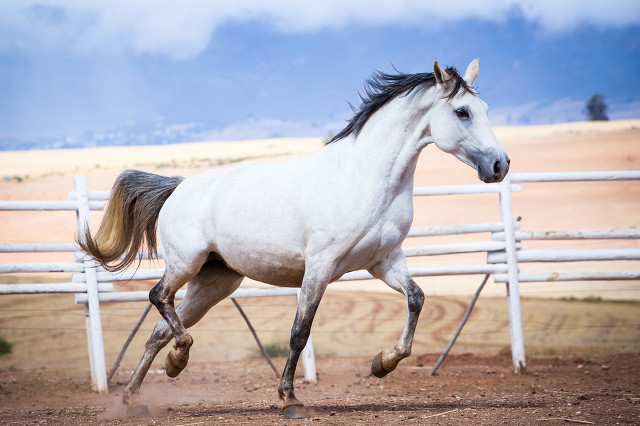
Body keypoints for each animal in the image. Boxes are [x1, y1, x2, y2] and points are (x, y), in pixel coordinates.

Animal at [79, 58, 510, 418]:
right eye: (462, 112)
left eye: (487, 110)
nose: (500, 165)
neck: (366, 177)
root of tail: (178, 187)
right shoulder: (321, 266)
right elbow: (299, 332)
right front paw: (290, 399)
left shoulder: (384, 261)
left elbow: (417, 299)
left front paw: (382, 363)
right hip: (186, 264)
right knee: (159, 298)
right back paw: (176, 362)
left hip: (214, 281)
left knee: (159, 331)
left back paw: (138, 394)